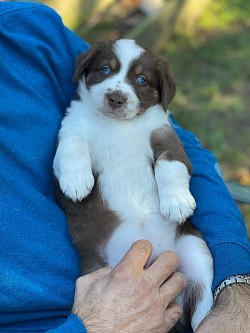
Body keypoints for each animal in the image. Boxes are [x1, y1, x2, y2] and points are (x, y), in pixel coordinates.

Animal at [53, 38, 214, 330]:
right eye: (105, 70)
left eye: (141, 79)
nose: (115, 98)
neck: (118, 125)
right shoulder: (71, 126)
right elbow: (73, 142)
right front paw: (76, 180)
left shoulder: (165, 136)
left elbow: (169, 165)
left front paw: (177, 202)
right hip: (95, 268)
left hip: (196, 253)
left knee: (203, 311)